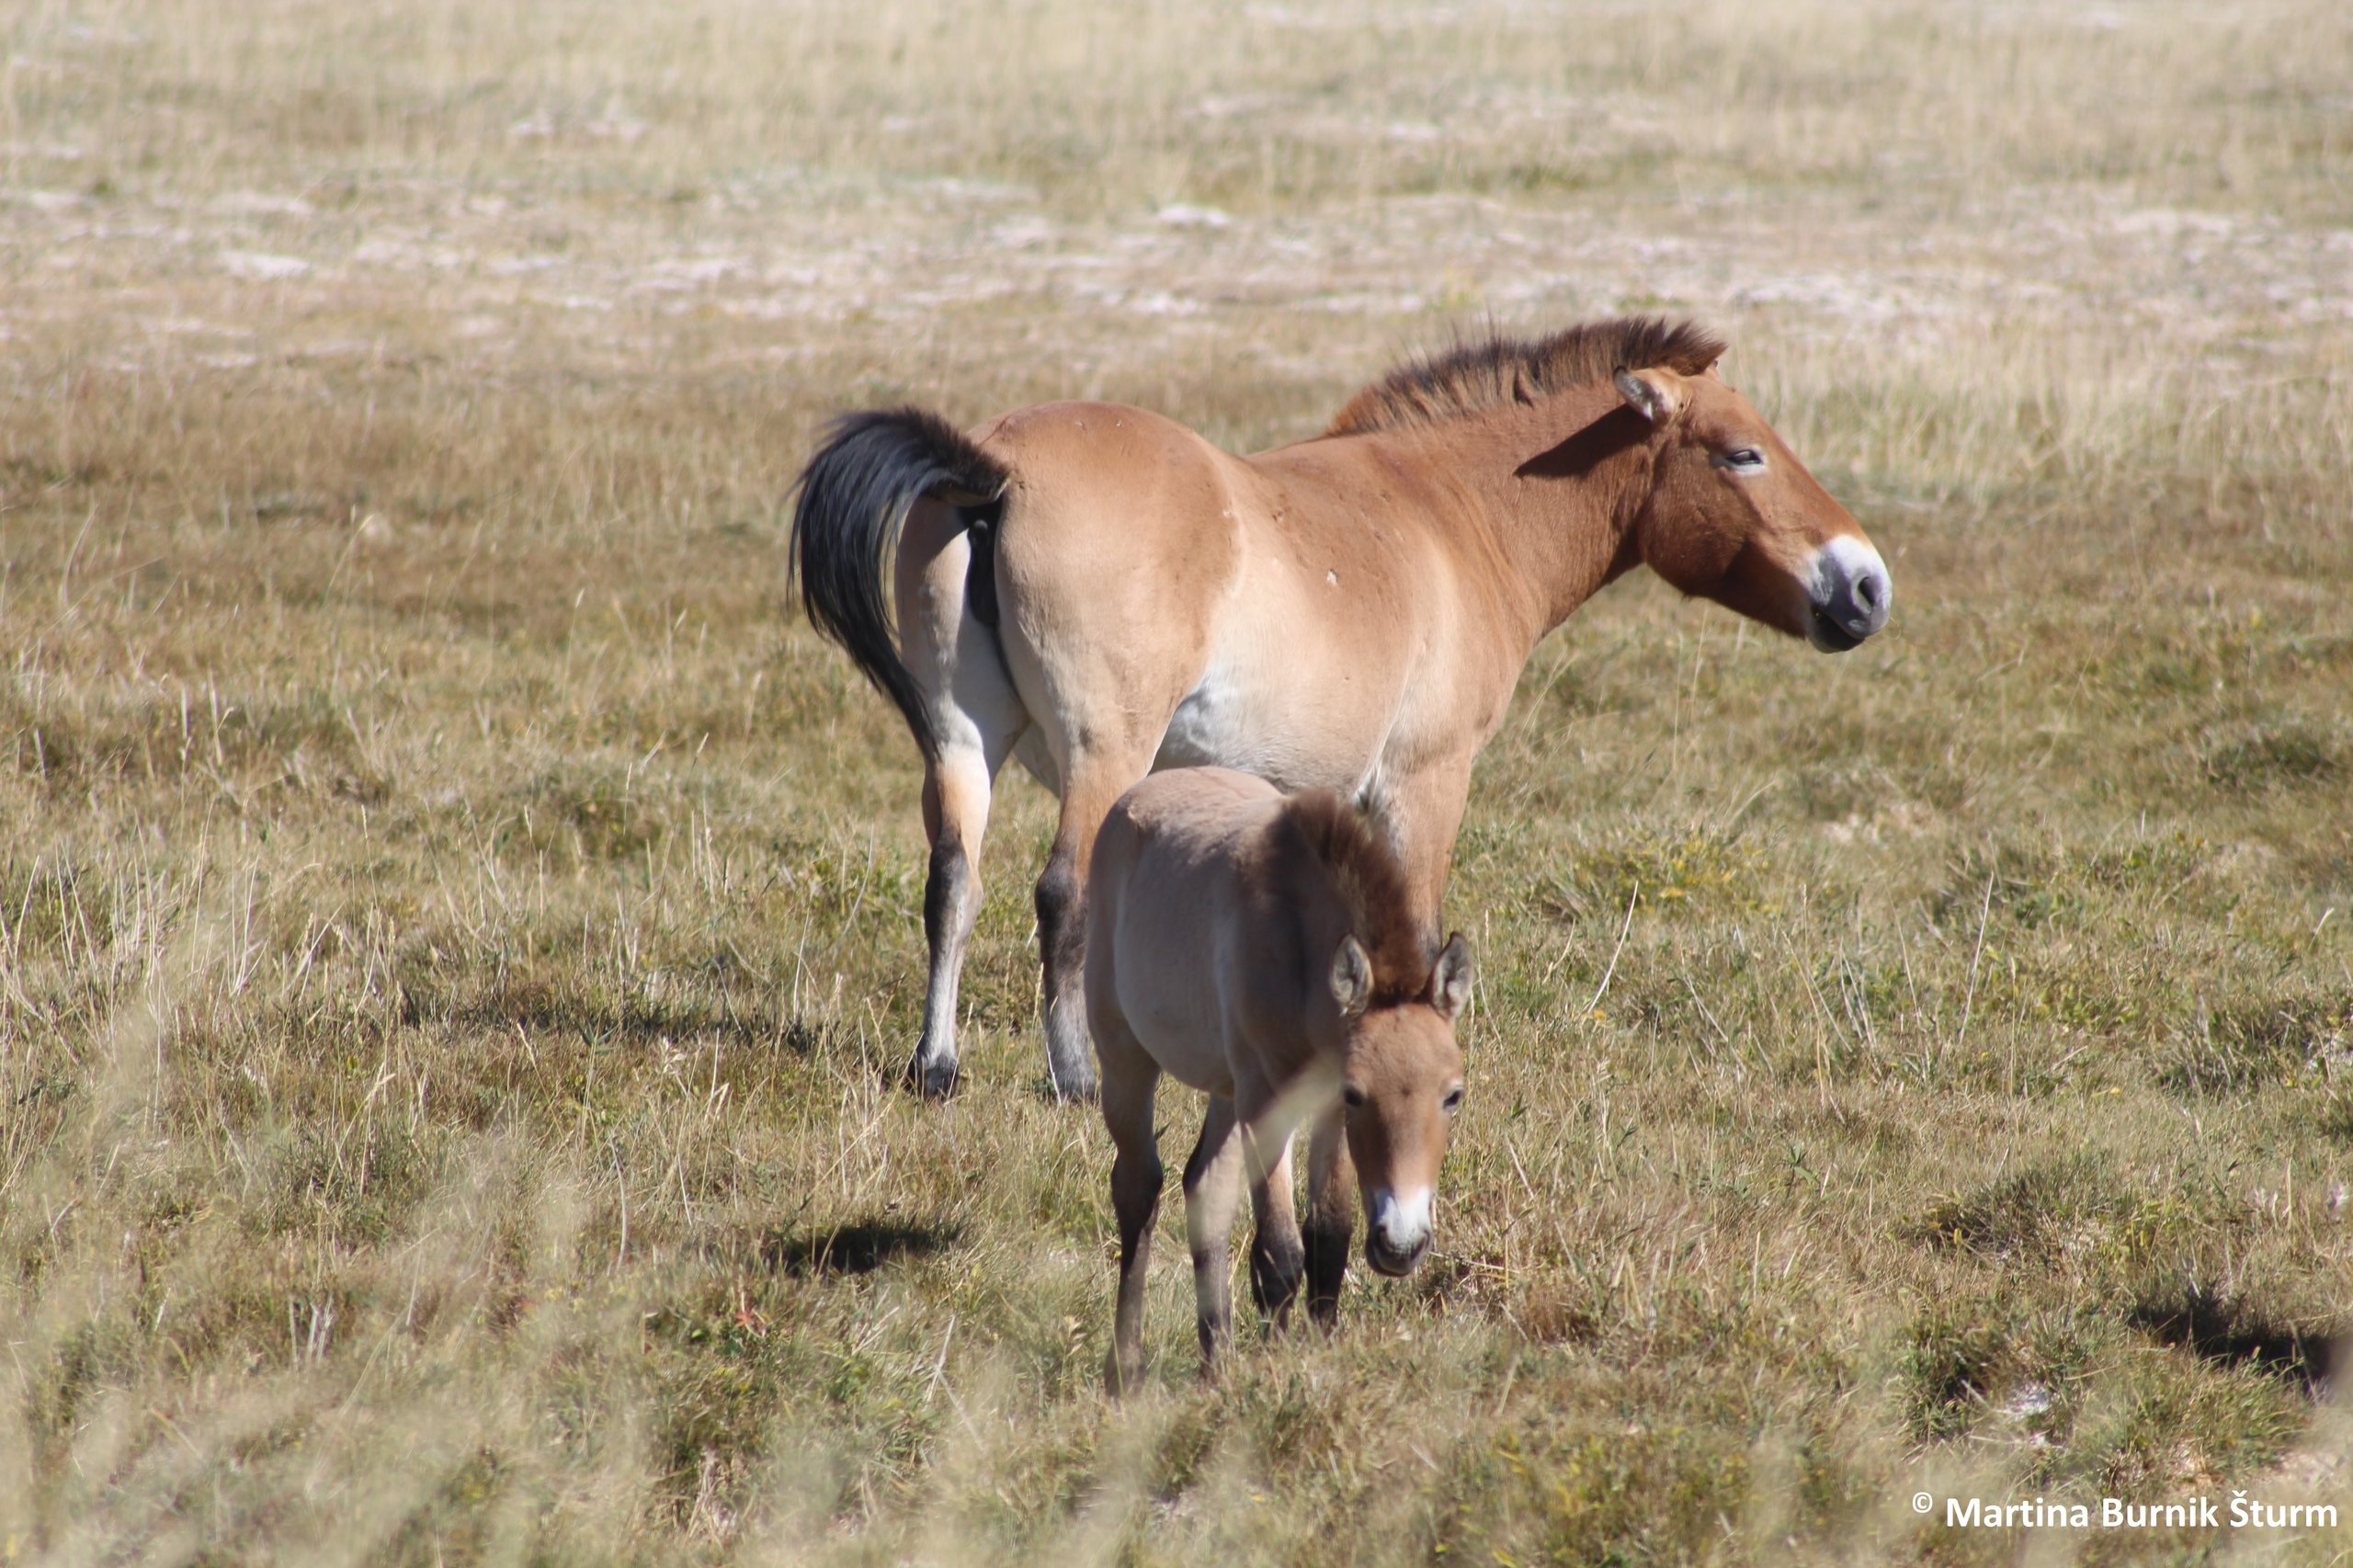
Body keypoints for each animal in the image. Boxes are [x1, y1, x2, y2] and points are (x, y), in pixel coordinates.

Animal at [790, 315, 1892, 1111]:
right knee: (1060, 894)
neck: (1451, 511)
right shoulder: (1422, 781)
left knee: (952, 881)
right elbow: (1418, 922)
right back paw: (1075, 1078)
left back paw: (936, 1067)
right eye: (1743, 454)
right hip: (1107, 751)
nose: (1866, 585)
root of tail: (994, 470)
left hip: (959, 739)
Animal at [1082, 762, 1468, 1384]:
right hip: (1125, 1059)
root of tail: (1137, 794)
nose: (1401, 1247)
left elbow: (1329, 1241)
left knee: (1205, 1188)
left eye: (1453, 1095)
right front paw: (1275, 1371)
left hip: (1226, 1090)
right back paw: (1127, 1368)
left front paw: (1316, 1358)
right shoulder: (1272, 1101)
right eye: (1360, 1094)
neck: (1297, 947)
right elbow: (1281, 1255)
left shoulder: (1320, 1108)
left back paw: (1215, 1363)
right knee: (1138, 1187)